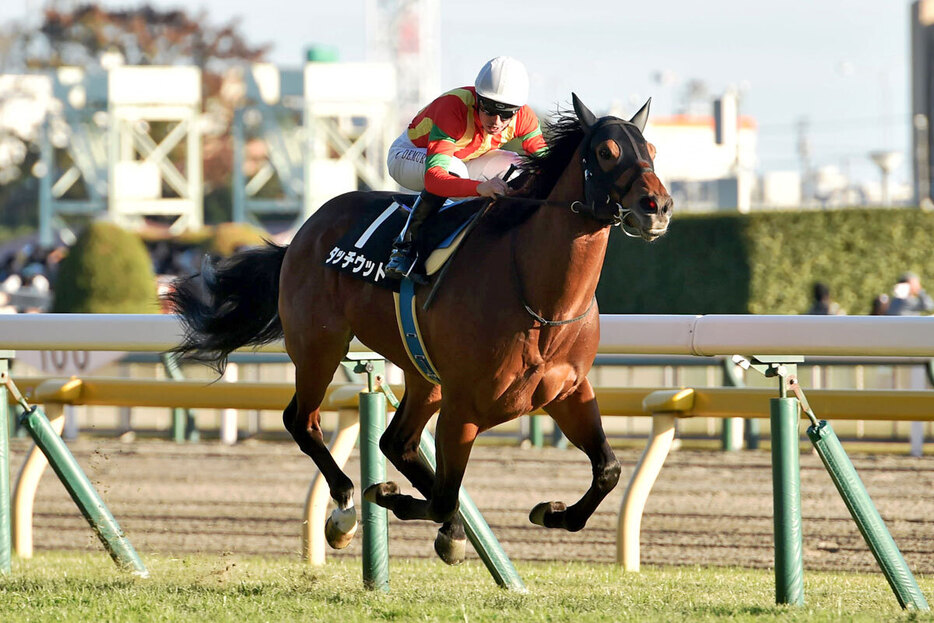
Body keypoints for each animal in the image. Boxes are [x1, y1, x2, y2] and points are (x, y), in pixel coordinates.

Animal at [170, 95, 672, 568]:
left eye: (650, 149)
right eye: (606, 152)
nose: (658, 207)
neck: (541, 299)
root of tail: (301, 234)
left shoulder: (568, 392)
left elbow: (607, 469)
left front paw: (552, 512)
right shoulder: (462, 409)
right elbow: (445, 496)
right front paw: (390, 498)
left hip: (421, 373)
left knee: (396, 442)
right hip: (318, 345)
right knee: (304, 420)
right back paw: (345, 510)